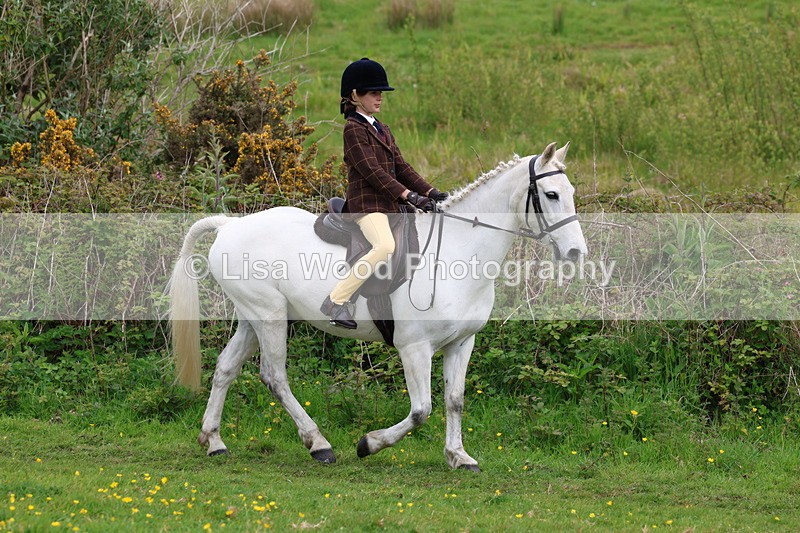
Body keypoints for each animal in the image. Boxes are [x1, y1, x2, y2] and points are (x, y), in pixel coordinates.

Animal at [168, 141, 587, 471]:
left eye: (570, 191)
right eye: (551, 195)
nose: (575, 253)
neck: (458, 250)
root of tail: (229, 225)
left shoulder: (461, 343)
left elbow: (454, 401)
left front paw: (459, 456)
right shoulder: (414, 347)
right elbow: (421, 410)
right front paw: (368, 444)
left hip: (252, 316)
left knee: (226, 368)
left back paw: (214, 442)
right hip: (269, 316)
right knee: (275, 376)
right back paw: (319, 445)